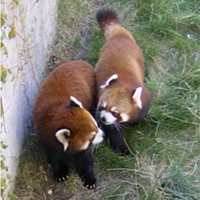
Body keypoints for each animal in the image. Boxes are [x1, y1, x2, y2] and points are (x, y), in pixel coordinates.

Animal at [33, 59, 103, 189]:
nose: (103, 135)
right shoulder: (46, 138)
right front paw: (61, 173)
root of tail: (78, 61)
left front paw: (89, 179)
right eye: (92, 136)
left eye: (96, 125)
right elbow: (55, 157)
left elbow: (85, 159)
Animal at [95, 8, 150, 154]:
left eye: (115, 112)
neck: (124, 83)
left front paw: (136, 123)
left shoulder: (144, 99)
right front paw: (124, 150)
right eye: (102, 107)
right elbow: (115, 134)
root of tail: (119, 36)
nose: (103, 118)